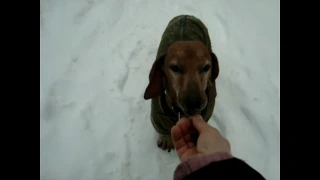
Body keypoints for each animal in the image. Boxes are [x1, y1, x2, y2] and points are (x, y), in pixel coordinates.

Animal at [143, 14, 220, 152]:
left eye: (206, 67)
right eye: (175, 67)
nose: (194, 103)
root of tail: (186, 15)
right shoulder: (158, 117)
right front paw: (166, 139)